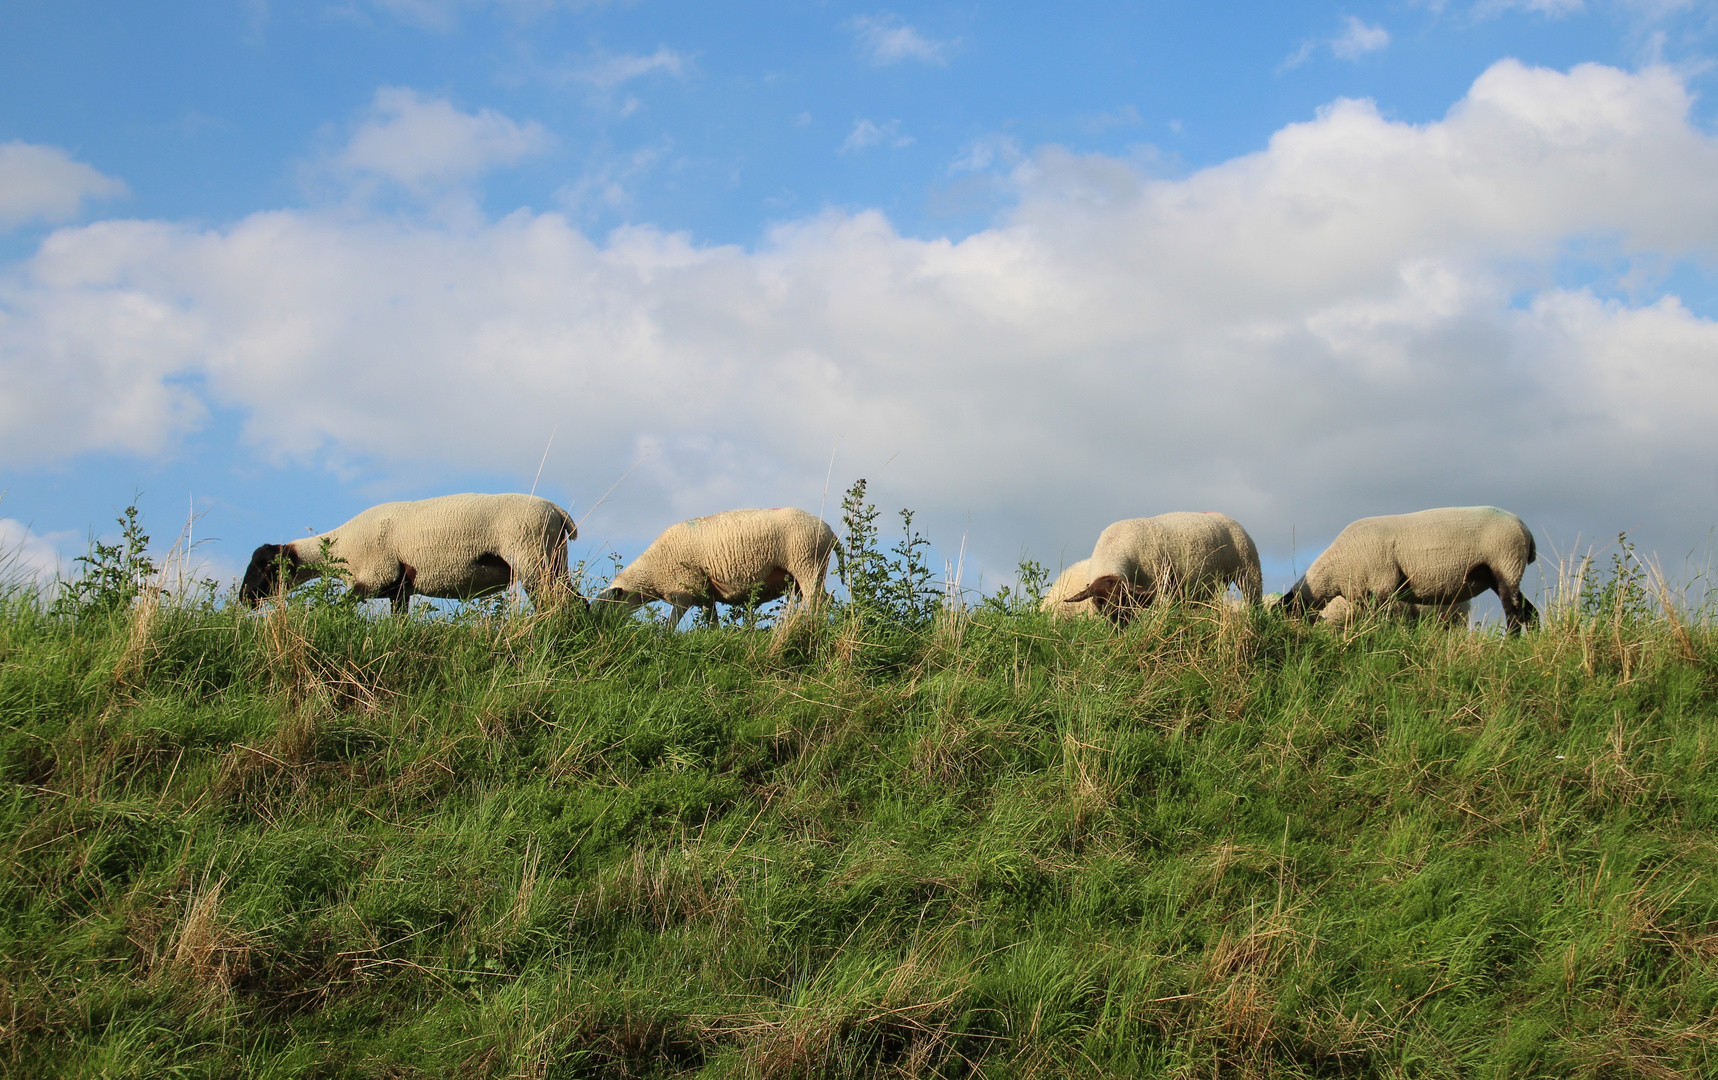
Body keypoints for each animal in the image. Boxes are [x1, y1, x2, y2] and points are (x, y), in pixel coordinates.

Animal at [240, 494, 577, 611]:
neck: (342, 547)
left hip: (532, 556)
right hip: (554, 559)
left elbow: (338, 607)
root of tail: (559, 512)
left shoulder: (375, 576)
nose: (244, 599)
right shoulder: (398, 588)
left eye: (266, 567)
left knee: (559, 603)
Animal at [594, 508, 834, 628]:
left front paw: (664, 639)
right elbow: (712, 620)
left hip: (807, 562)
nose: (599, 629)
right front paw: (714, 636)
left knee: (816, 601)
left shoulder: (685, 591)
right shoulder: (704, 592)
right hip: (801, 574)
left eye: (604, 606)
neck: (651, 572)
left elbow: (671, 623)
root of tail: (828, 530)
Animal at [1058, 511, 1264, 624]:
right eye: (1096, 602)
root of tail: (1223, 516)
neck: (1113, 548)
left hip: (1248, 568)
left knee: (1254, 599)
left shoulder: (1153, 586)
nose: (1115, 626)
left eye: (1122, 599)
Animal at [1285, 504, 1539, 631]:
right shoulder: (1365, 595)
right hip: (1501, 574)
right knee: (1530, 611)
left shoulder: (1382, 585)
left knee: (1514, 613)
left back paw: (1510, 644)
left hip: (1506, 562)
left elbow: (1381, 622)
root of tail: (1524, 528)